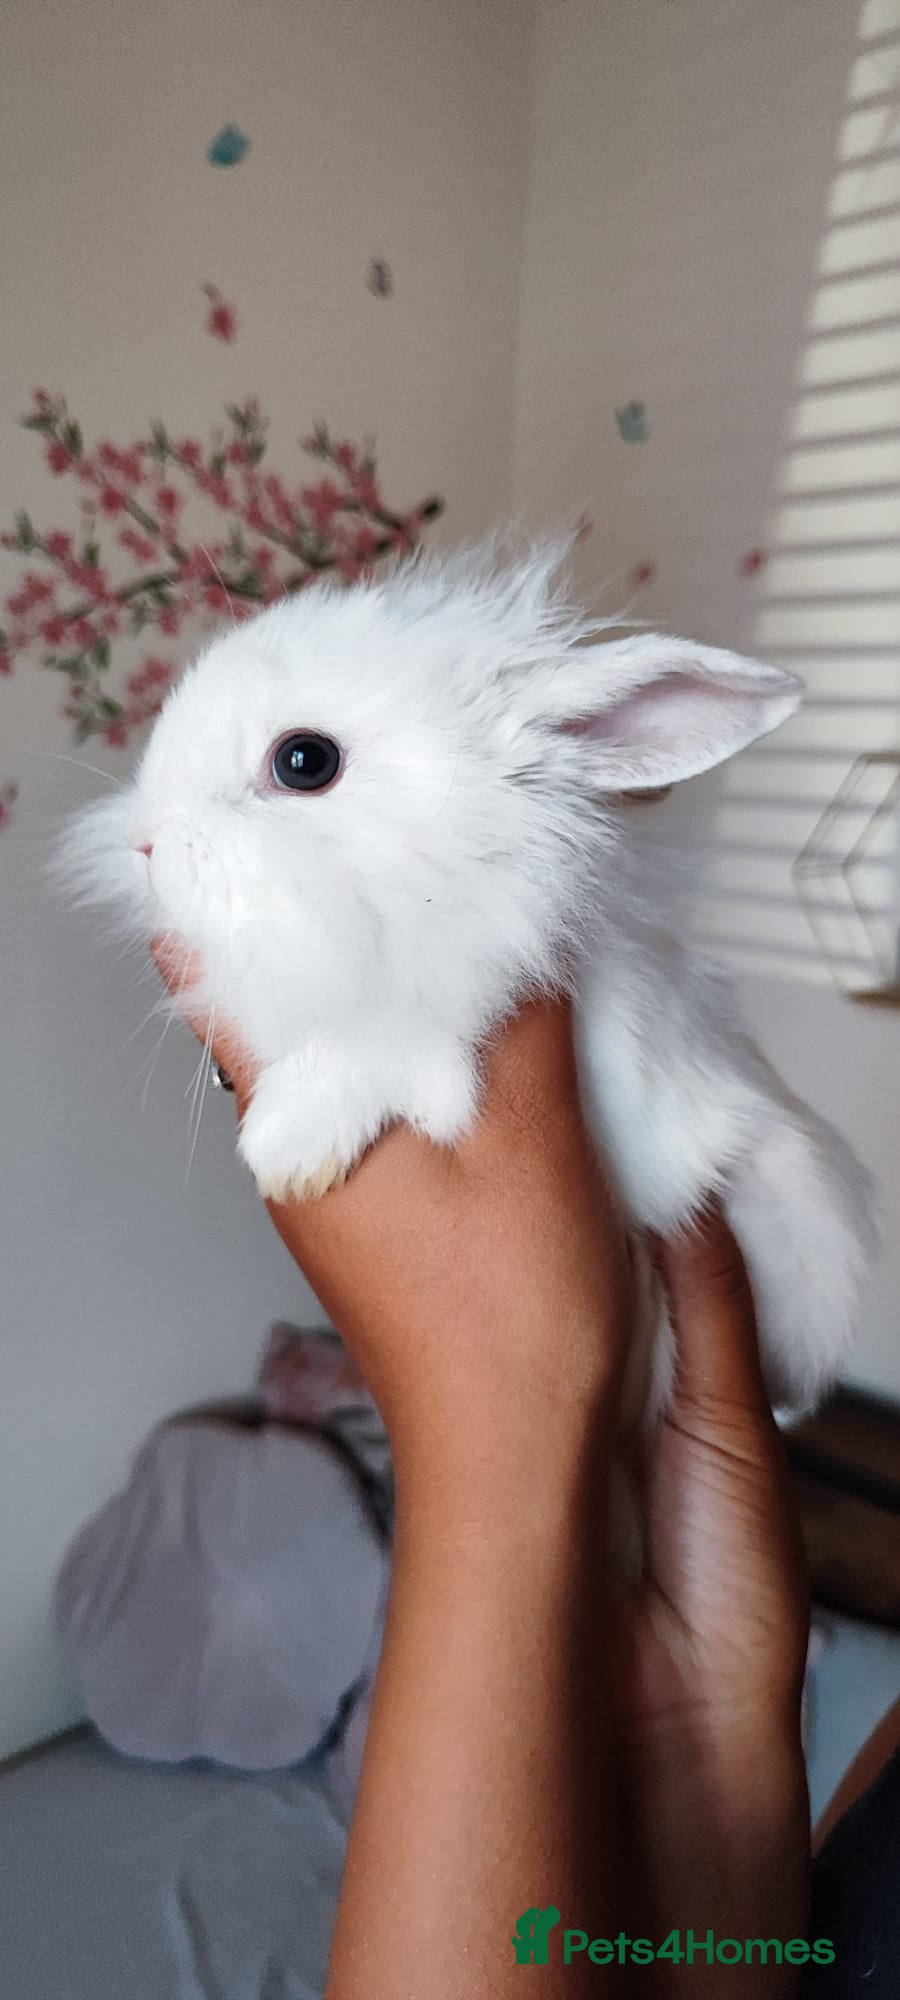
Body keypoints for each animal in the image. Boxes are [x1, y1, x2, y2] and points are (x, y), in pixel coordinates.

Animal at [63, 540, 877, 1425]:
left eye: (304, 761)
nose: (145, 842)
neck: (436, 872)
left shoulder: (428, 1030)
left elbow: (357, 1057)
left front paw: (287, 1151)